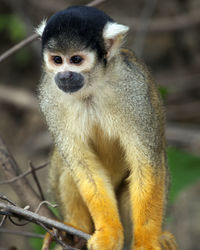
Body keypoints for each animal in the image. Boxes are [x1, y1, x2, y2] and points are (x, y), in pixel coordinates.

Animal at [36, 5, 177, 250]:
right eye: (57, 60)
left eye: (76, 59)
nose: (64, 75)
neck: (91, 87)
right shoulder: (49, 93)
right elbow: (82, 165)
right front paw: (109, 231)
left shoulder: (133, 89)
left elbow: (146, 163)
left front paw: (147, 240)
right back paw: (76, 229)